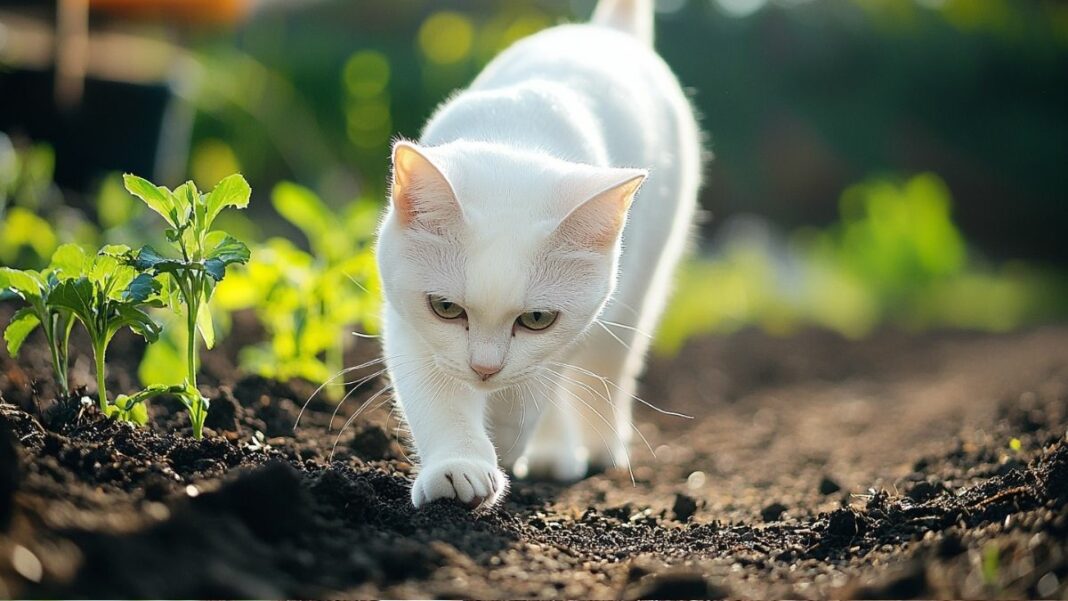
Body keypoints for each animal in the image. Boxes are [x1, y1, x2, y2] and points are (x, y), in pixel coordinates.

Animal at [375, 0, 700, 510]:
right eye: (446, 308)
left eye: (536, 319)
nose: (484, 369)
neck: (516, 134)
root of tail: (608, 33)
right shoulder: (407, 319)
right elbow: (438, 396)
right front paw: (459, 467)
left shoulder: (568, 333)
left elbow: (526, 395)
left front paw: (507, 443)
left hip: (638, 292)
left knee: (607, 372)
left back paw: (590, 451)